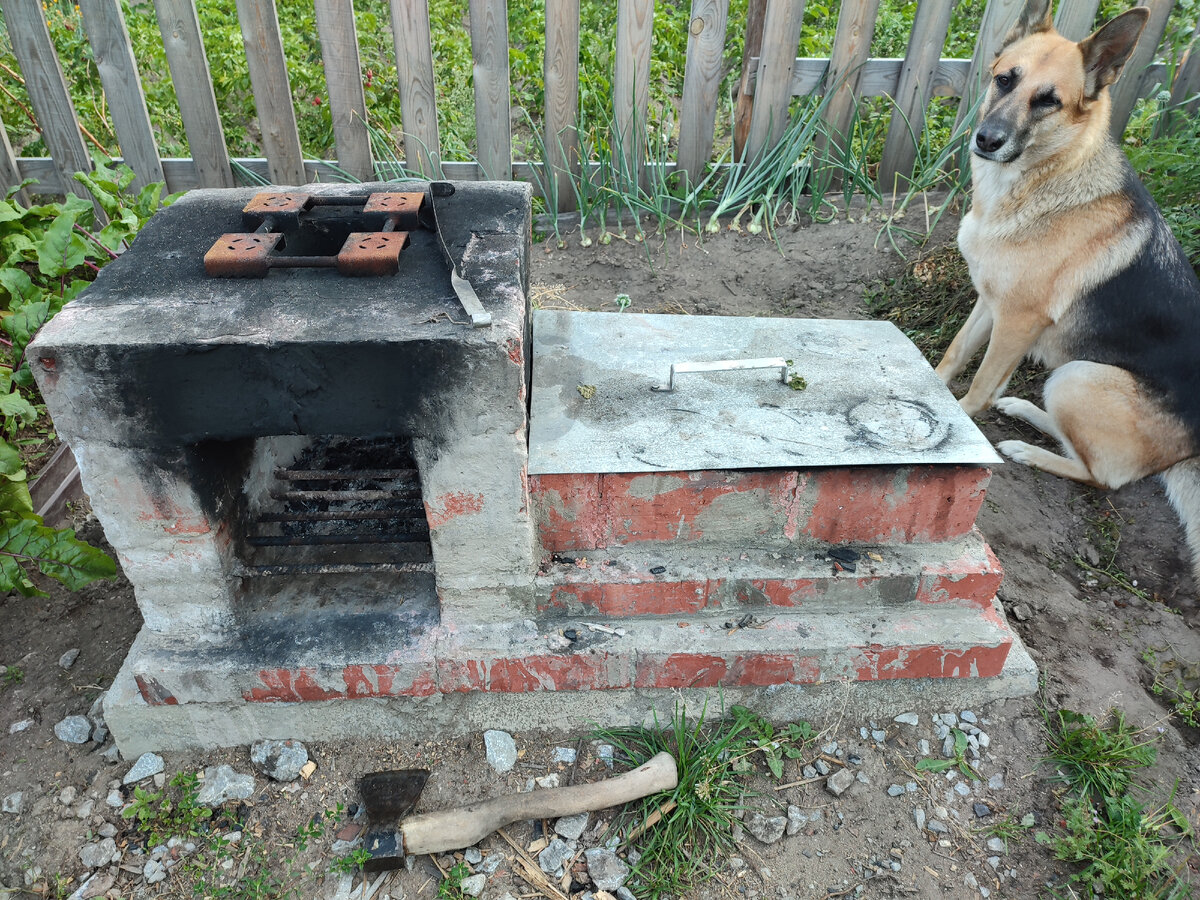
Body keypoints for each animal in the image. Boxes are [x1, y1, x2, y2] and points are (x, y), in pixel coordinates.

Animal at [936, 0, 1200, 580]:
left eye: (1049, 101)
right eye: (1004, 79)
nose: (986, 140)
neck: (1041, 181)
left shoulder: (1016, 322)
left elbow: (978, 385)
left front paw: (960, 421)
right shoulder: (989, 303)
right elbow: (952, 357)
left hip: (1082, 377)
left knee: (1102, 476)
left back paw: (1027, 450)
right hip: (1069, 376)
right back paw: (1023, 412)